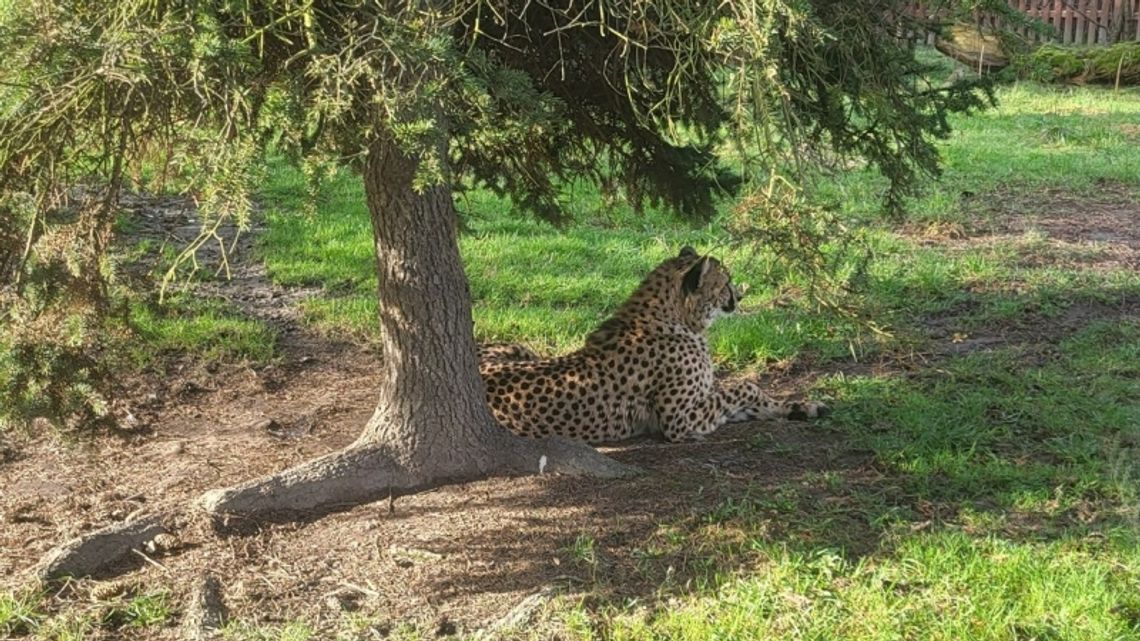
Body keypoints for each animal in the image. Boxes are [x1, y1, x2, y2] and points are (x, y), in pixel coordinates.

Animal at [476, 247, 825, 442]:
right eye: (725, 282)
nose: (738, 297)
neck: (678, 321)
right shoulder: (678, 420)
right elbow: (744, 387)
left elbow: (750, 400)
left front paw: (801, 407)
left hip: (520, 349)